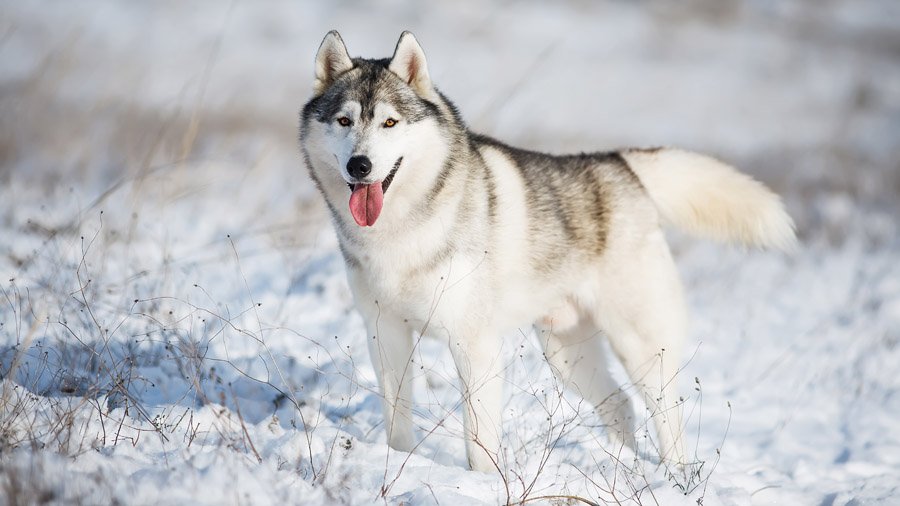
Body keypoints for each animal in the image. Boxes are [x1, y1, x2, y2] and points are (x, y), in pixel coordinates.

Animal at [298, 30, 796, 474]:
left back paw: (673, 478)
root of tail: (620, 164)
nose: (359, 166)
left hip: (638, 347)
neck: (401, 231)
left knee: (666, 417)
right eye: (344, 121)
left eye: (389, 123)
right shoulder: (386, 335)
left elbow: (479, 443)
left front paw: (481, 484)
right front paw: (398, 465)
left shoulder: (474, 346)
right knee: (620, 404)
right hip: (565, 355)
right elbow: (397, 424)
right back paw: (627, 469)